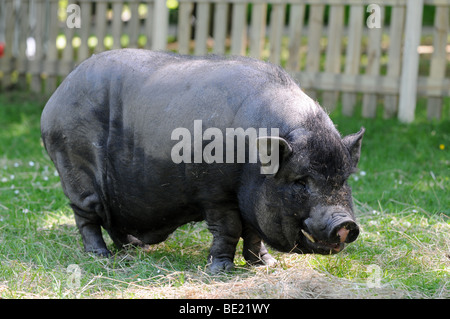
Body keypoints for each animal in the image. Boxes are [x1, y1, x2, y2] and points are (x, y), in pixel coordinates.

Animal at [41, 48, 366, 274]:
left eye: (343, 179)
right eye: (300, 181)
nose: (345, 223)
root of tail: (54, 98)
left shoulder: (249, 200)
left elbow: (253, 233)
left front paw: (266, 265)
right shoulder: (215, 194)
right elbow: (229, 229)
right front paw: (221, 270)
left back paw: (134, 249)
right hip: (74, 166)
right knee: (86, 216)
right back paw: (99, 256)